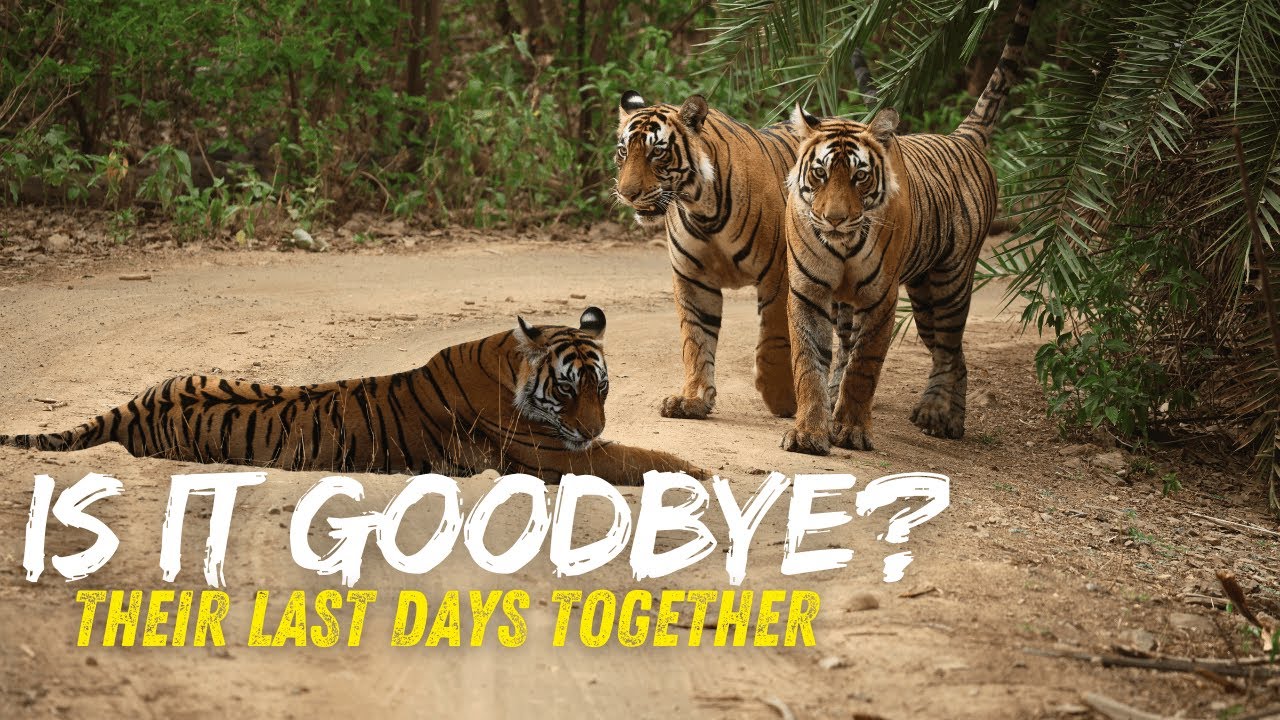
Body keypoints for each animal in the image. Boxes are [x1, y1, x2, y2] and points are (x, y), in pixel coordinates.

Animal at [0, 307, 702, 485]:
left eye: (602, 388)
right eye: (566, 389)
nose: (589, 427)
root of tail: (137, 405)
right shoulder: (555, 456)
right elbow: (637, 457)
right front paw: (697, 471)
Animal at [781, 0, 1036, 455]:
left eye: (860, 177)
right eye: (820, 173)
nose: (835, 218)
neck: (842, 246)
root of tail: (962, 137)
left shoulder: (881, 300)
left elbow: (865, 366)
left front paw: (850, 429)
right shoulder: (808, 293)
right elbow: (808, 364)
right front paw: (810, 431)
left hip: (948, 285)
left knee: (950, 350)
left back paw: (942, 416)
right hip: (913, 294)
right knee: (933, 350)